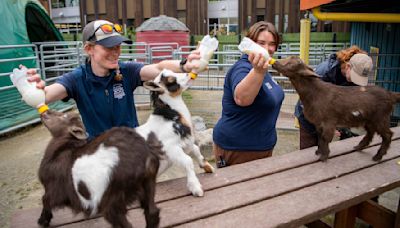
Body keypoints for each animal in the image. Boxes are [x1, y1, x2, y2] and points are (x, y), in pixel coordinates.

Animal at [136, 68, 214, 197]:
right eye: (171, 81)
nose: (190, 74)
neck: (170, 118)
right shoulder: (170, 148)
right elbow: (188, 161)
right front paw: (195, 187)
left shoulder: (186, 144)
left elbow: (196, 150)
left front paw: (207, 167)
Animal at [272, 56, 400, 161]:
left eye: (293, 65)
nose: (275, 62)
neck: (315, 93)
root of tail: (390, 94)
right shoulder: (319, 123)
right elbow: (320, 137)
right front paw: (319, 152)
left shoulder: (329, 121)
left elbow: (325, 137)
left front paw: (324, 156)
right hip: (369, 119)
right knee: (370, 132)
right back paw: (359, 147)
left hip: (381, 118)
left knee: (388, 135)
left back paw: (378, 156)